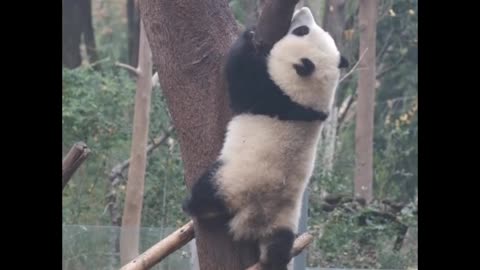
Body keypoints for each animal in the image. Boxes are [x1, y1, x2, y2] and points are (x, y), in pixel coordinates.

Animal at [182, 6, 346, 270]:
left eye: (301, 31)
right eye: (308, 29)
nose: (303, 9)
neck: (306, 101)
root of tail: (256, 219)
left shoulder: (269, 94)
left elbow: (240, 76)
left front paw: (247, 37)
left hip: (231, 180)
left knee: (207, 193)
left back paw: (192, 205)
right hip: (285, 221)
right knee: (280, 248)